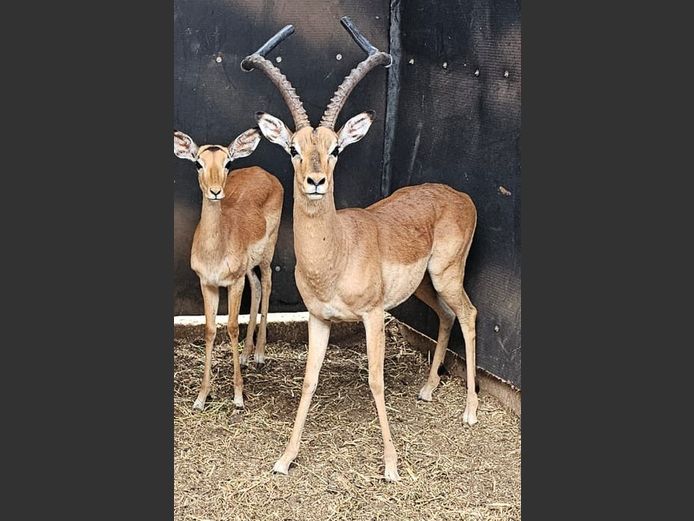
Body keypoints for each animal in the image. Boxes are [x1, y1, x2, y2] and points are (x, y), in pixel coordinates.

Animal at [173, 127, 283, 410]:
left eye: (228, 162)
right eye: (198, 163)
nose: (215, 191)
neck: (215, 250)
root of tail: (263, 173)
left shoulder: (233, 282)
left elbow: (232, 327)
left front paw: (238, 396)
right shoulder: (208, 283)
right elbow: (210, 330)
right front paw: (201, 397)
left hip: (267, 253)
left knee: (267, 283)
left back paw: (259, 354)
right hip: (248, 268)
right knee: (257, 286)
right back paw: (245, 355)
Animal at [243, 19, 478, 482]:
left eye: (335, 148)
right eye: (294, 148)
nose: (316, 181)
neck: (336, 255)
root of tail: (460, 196)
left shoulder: (372, 315)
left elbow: (375, 379)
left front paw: (390, 466)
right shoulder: (318, 318)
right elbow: (309, 380)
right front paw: (285, 458)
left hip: (447, 275)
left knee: (470, 314)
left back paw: (470, 411)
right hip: (424, 285)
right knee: (446, 315)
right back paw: (428, 388)